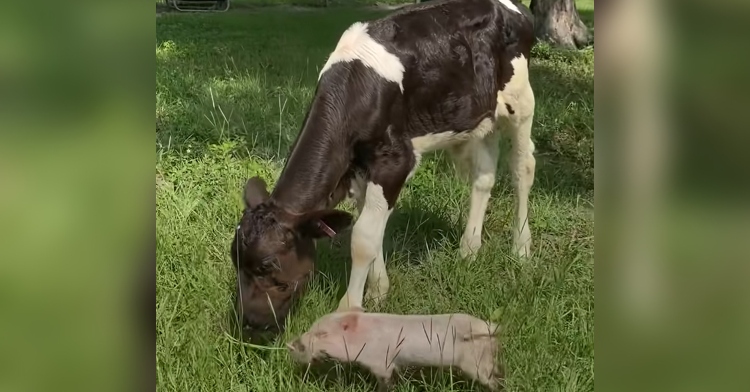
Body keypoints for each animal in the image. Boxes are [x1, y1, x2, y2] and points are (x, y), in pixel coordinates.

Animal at [232, 0, 536, 338]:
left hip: (520, 101)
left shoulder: (394, 162)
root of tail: (510, 8)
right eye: (237, 262)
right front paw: (378, 292)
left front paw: (349, 310)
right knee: (484, 176)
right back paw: (469, 250)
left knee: (523, 168)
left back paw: (521, 249)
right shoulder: (360, 169)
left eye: (268, 265)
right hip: (481, 116)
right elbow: (373, 232)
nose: (250, 322)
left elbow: (363, 238)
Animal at [288, 310, 506, 390]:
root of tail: (490, 327)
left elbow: (385, 379)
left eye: (322, 333)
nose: (292, 344)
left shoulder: (381, 363)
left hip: (475, 362)